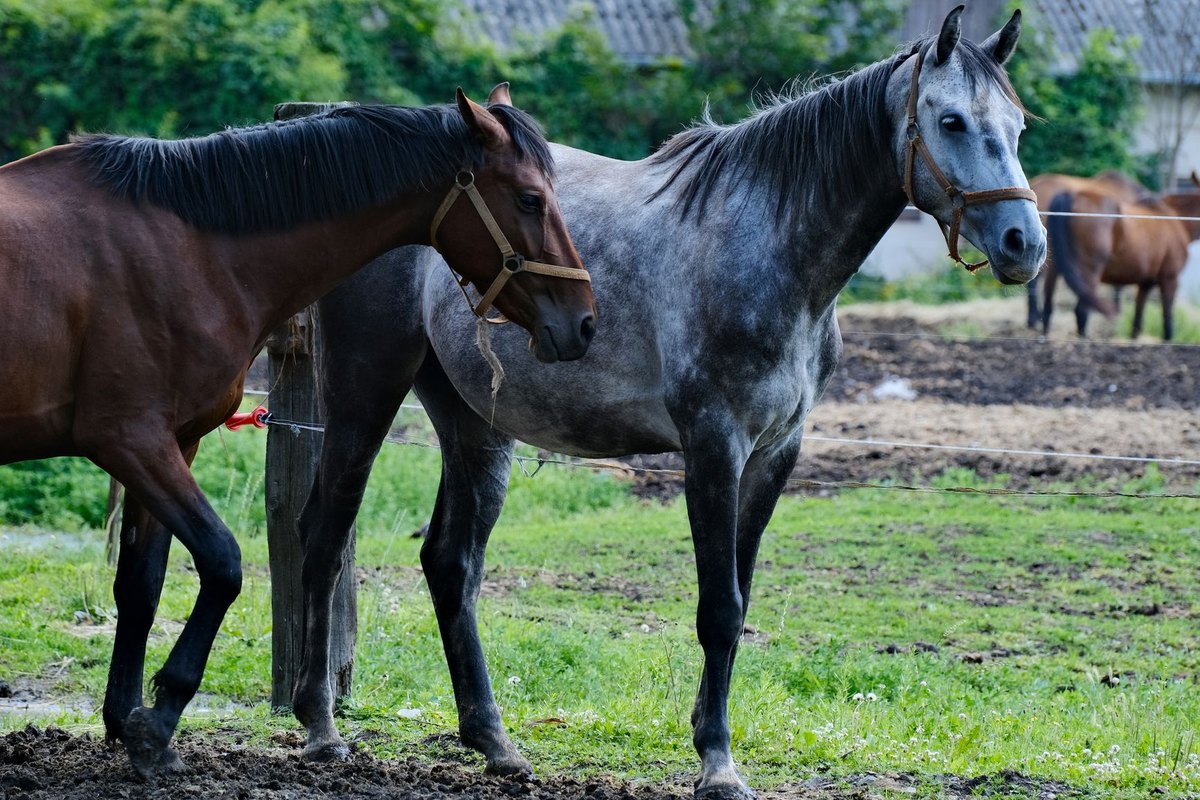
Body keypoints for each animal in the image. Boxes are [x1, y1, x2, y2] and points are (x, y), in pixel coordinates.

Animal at [0, 83, 595, 777]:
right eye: (530, 198)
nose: (583, 321)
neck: (187, 248)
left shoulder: (173, 443)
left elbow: (141, 585)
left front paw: (128, 722)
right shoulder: (130, 439)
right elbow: (223, 563)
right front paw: (161, 715)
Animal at [293, 8, 1044, 798]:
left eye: (1018, 125)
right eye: (952, 121)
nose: (1024, 244)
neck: (771, 248)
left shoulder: (776, 453)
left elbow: (739, 601)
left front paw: (710, 741)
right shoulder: (714, 445)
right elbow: (719, 608)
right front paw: (716, 762)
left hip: (476, 424)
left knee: (450, 564)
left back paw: (494, 741)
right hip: (365, 391)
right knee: (325, 534)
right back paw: (320, 725)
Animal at [1028, 172, 1200, 340]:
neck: (1174, 218)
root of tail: (1072, 196)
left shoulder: (1145, 283)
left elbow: (1137, 321)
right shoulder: (1170, 279)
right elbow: (1167, 321)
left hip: (1055, 269)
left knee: (1048, 308)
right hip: (1089, 273)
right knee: (1081, 311)